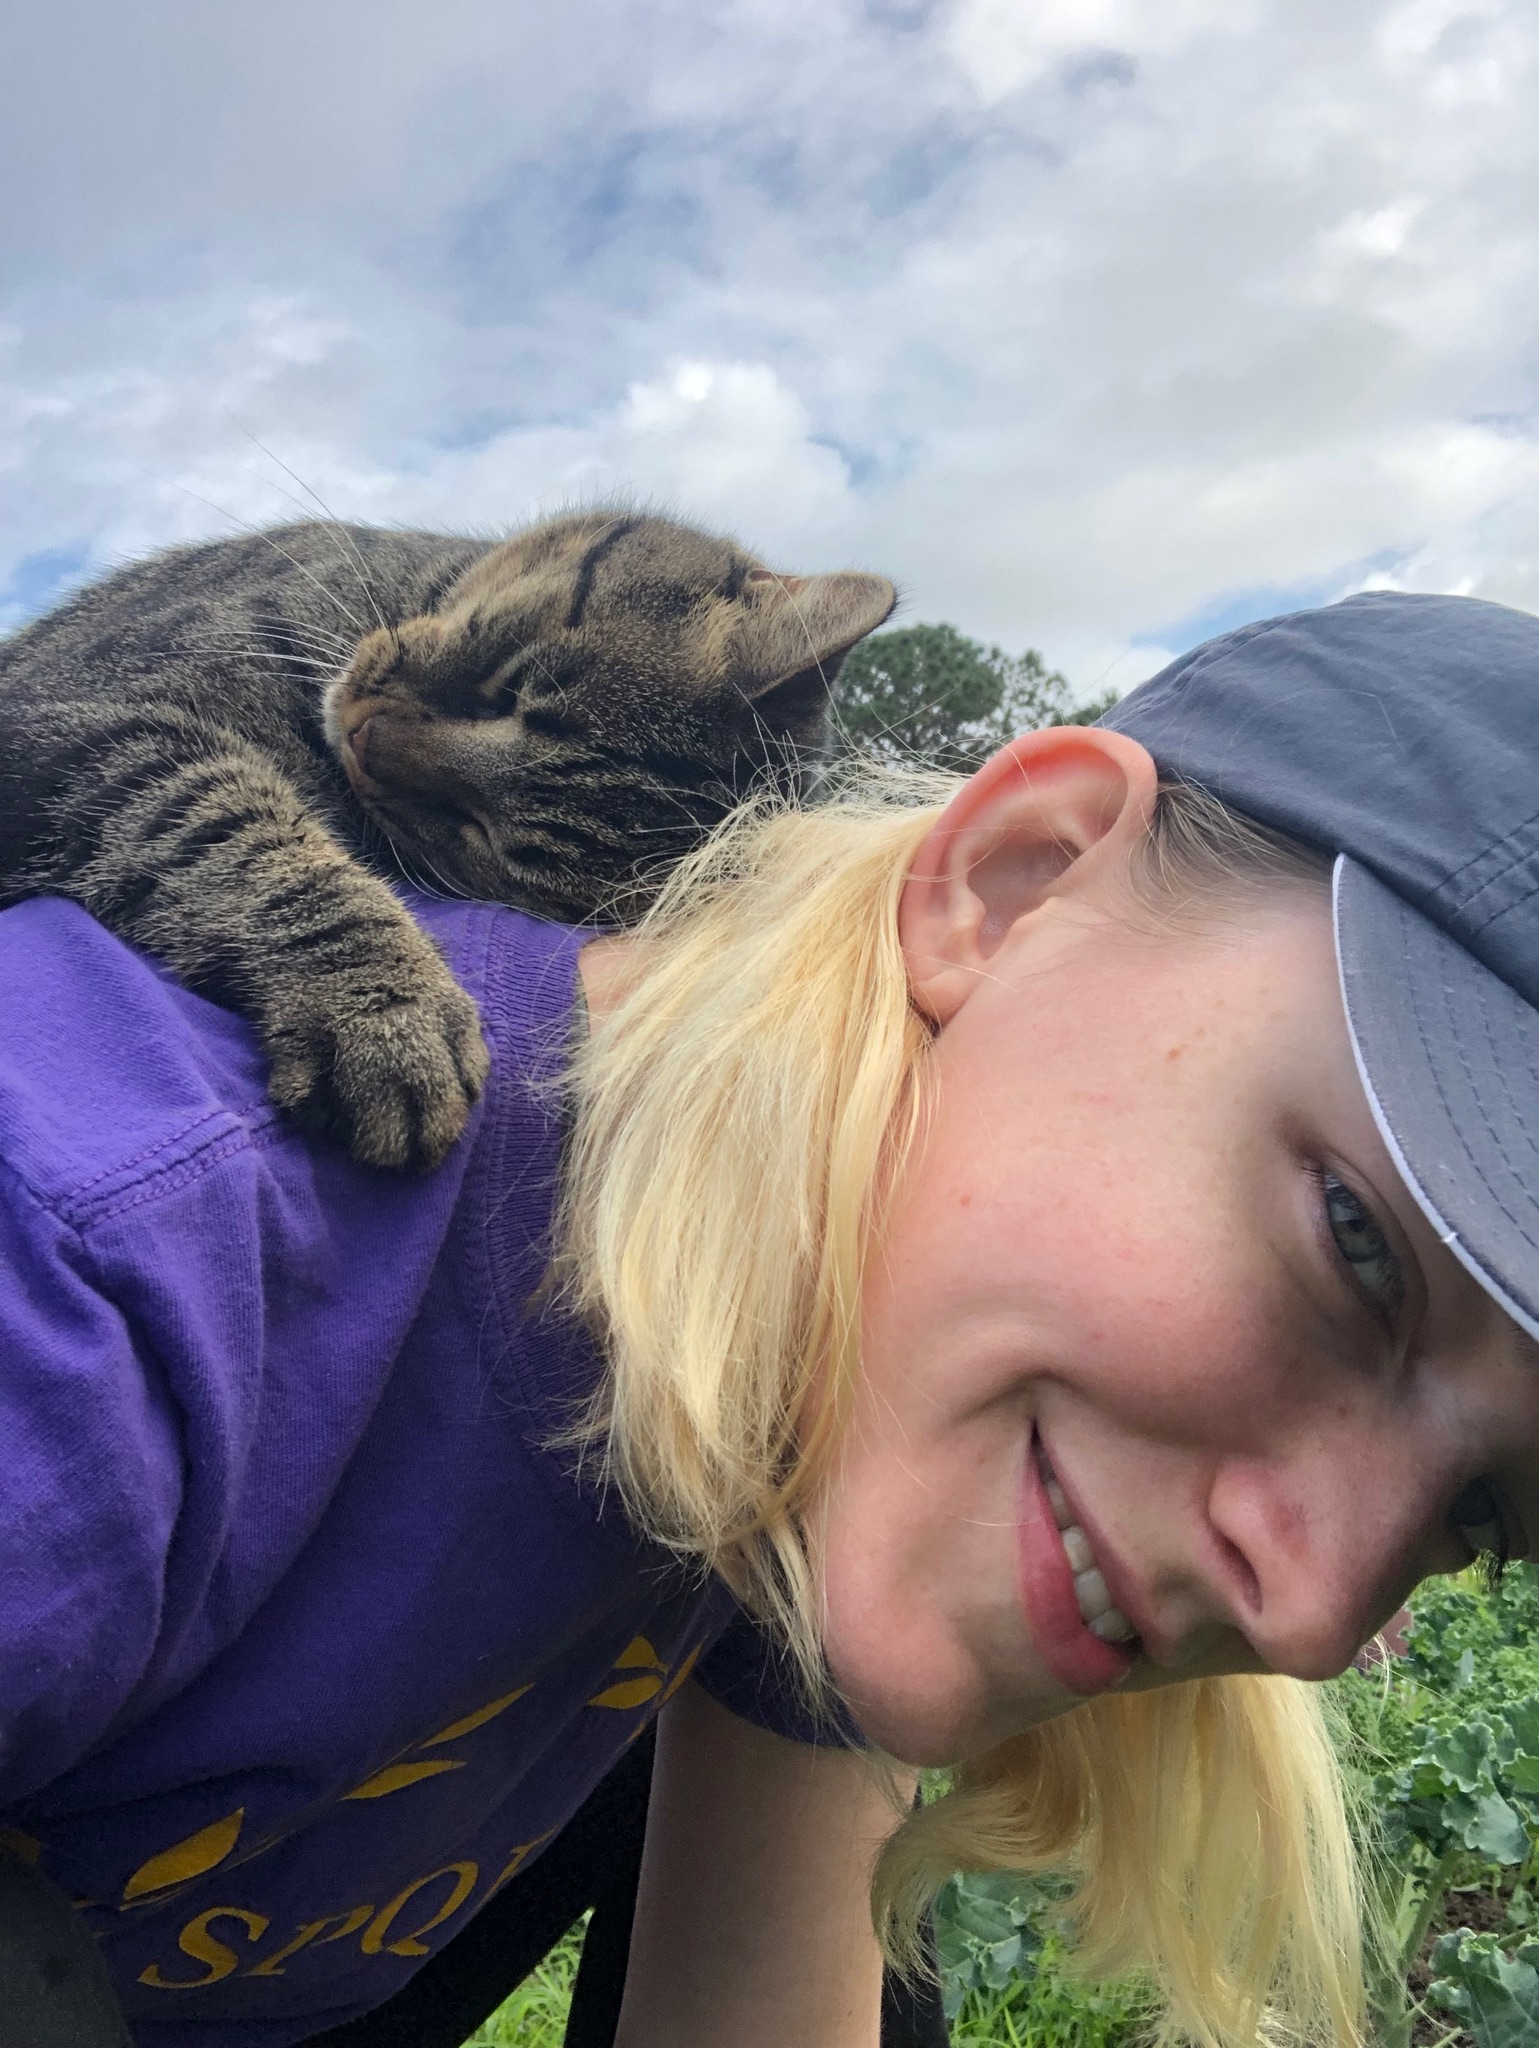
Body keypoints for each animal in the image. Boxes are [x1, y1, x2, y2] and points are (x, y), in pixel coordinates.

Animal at [0, 512, 897, 1171]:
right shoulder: (91, 709)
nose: (366, 743)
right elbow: (240, 836)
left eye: (486, 837)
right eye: (511, 691)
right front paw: (384, 1011)